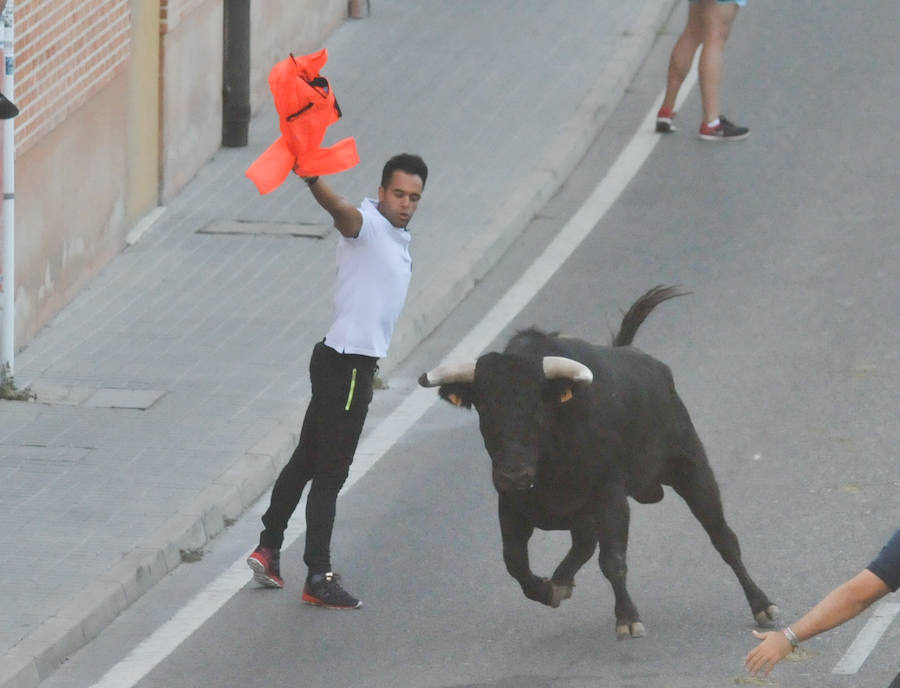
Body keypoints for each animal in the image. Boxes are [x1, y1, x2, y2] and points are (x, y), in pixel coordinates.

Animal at [418, 286, 776, 640]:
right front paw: (547, 589)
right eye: (485, 409)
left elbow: (612, 560)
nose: (514, 474)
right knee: (584, 544)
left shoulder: (610, 497)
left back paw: (762, 605)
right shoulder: (510, 505)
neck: (549, 462)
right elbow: (515, 560)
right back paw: (560, 581)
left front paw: (627, 618)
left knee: (723, 537)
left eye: (538, 408)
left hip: (692, 469)